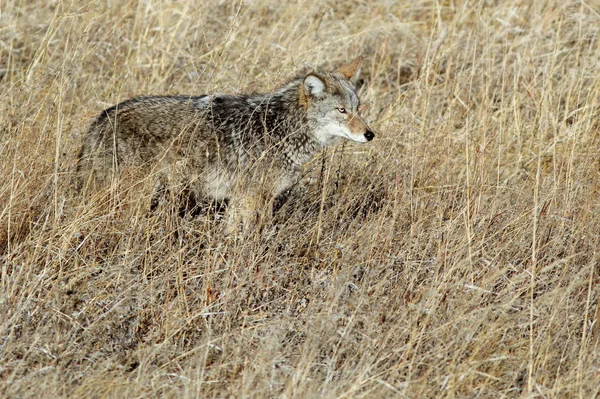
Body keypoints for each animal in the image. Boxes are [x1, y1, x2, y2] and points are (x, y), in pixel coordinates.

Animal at [76, 56, 376, 231]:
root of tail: (101, 119)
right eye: (341, 111)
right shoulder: (251, 198)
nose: (370, 135)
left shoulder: (242, 200)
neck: (280, 129)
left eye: (358, 108)